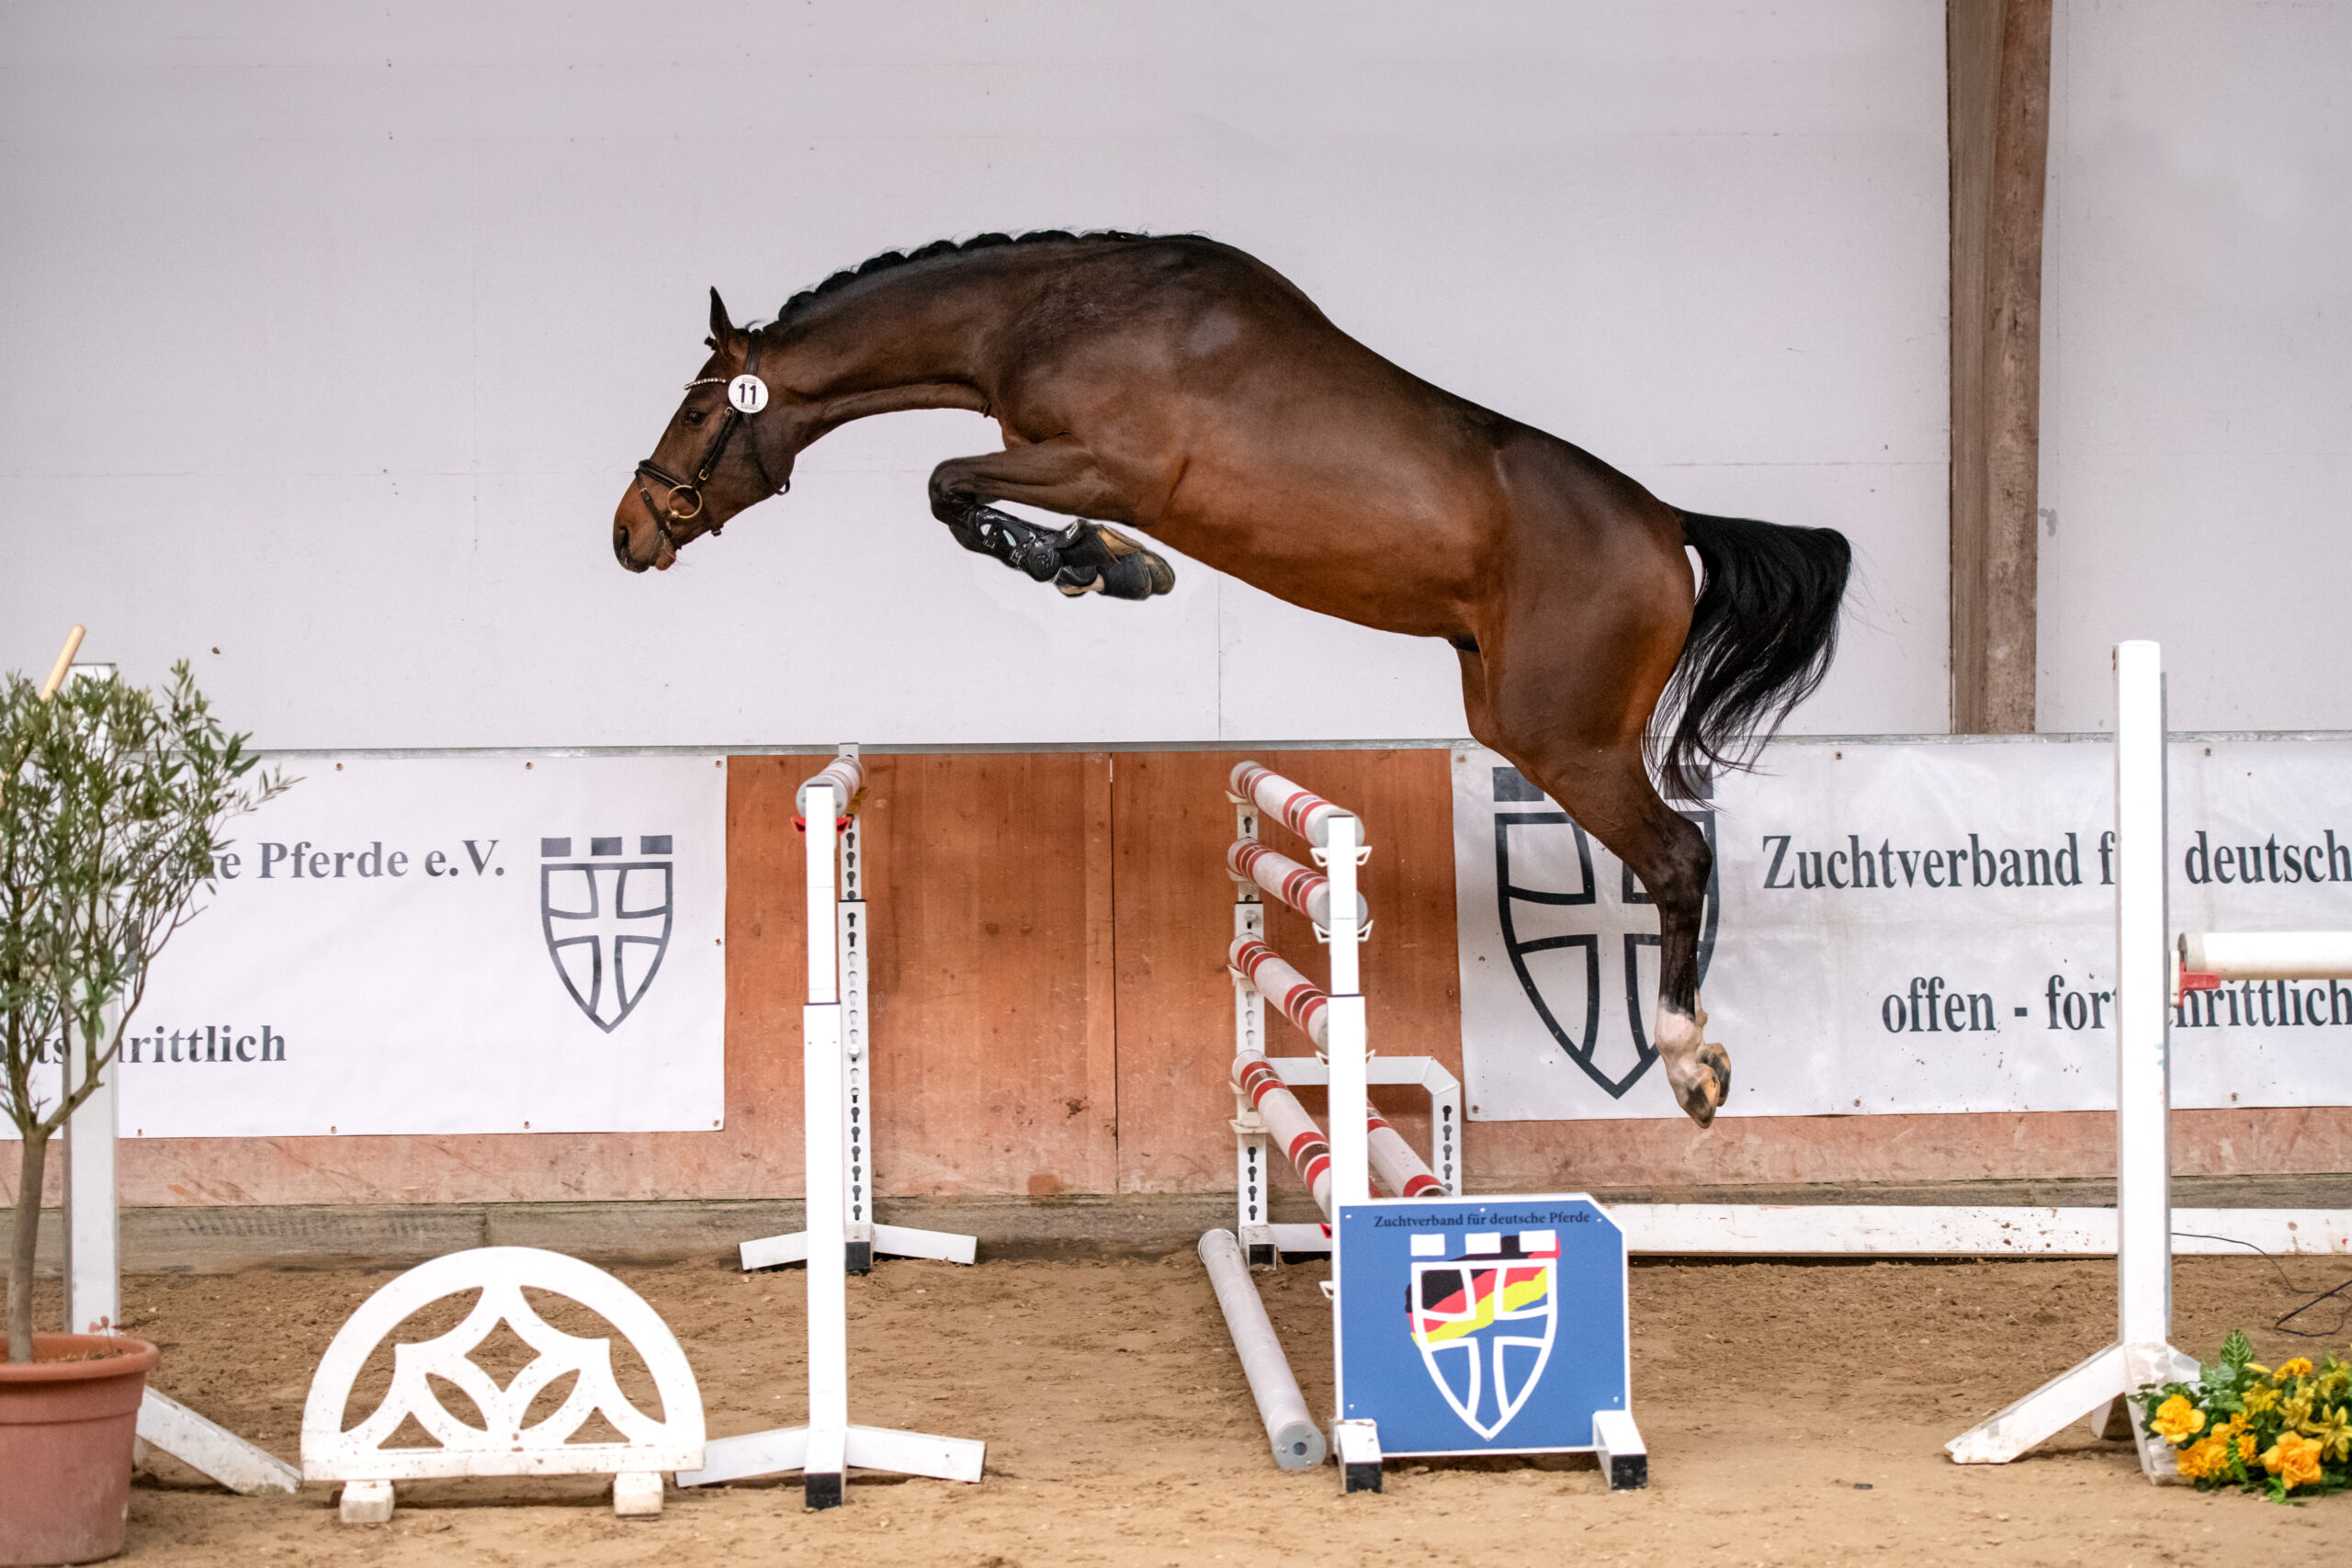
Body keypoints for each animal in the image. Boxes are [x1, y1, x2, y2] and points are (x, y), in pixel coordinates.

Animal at [614, 230, 1850, 1127]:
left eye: (695, 408)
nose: (629, 532)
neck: (1045, 312)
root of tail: (1667, 525)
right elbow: (958, 488)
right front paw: (1101, 563)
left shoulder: (1104, 465)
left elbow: (948, 484)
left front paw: (1100, 565)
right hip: (1517, 719)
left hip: (1565, 740)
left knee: (1677, 858)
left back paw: (1689, 1062)